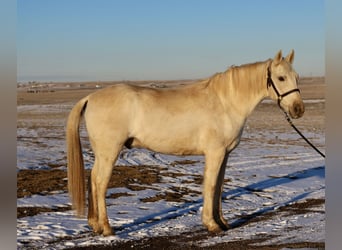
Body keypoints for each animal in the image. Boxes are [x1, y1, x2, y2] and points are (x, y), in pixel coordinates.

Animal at [66, 49, 304, 235]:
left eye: (297, 77)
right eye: (281, 78)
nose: (298, 109)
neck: (225, 102)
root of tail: (90, 97)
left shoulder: (224, 154)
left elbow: (218, 186)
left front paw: (222, 222)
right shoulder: (215, 153)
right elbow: (210, 186)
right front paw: (211, 224)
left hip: (102, 154)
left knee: (92, 179)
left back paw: (95, 225)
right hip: (109, 152)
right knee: (100, 183)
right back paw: (106, 228)